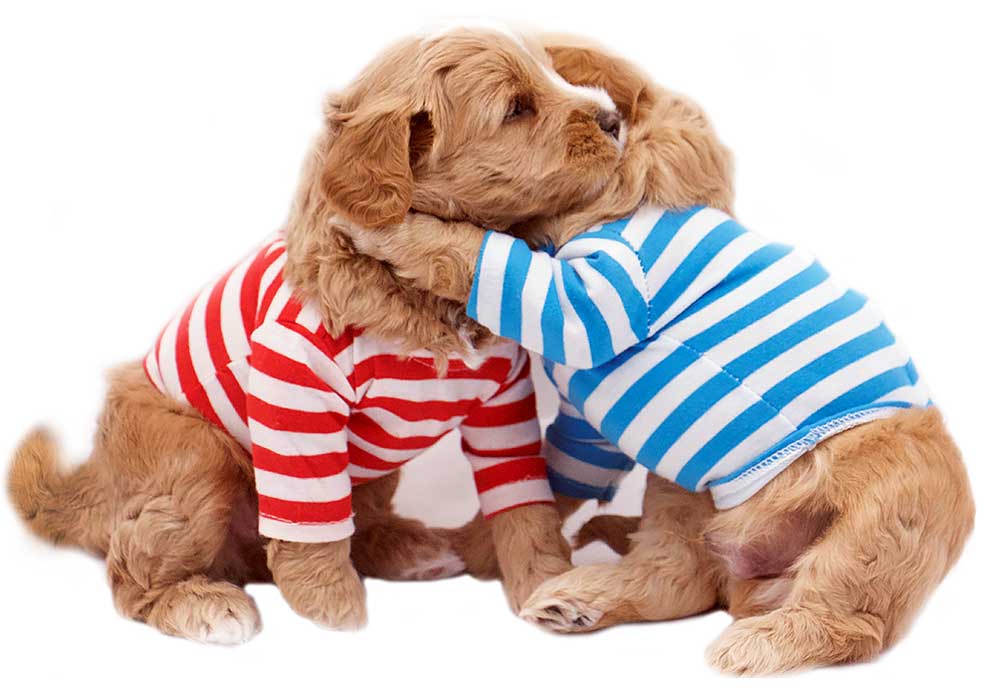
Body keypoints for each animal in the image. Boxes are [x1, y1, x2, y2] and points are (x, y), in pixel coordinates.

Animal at [7, 24, 624, 644]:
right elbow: (311, 528)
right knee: (133, 570)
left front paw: (546, 585)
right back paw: (200, 604)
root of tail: (101, 484)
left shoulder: (503, 404)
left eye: (554, 75)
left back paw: (408, 548)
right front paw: (333, 612)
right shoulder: (295, 394)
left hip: (368, 476)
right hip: (196, 459)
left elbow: (524, 505)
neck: (418, 300)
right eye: (517, 108)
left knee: (355, 520)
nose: (614, 119)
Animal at [346, 38, 976, 672]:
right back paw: (577, 597)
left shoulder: (596, 299)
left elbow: (488, 258)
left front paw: (391, 231)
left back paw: (759, 641)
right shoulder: (584, 424)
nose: (606, 120)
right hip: (684, 495)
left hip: (884, 515)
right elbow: (556, 477)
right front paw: (472, 545)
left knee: (851, 617)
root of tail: (748, 585)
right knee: (674, 579)